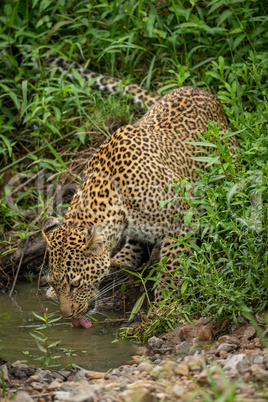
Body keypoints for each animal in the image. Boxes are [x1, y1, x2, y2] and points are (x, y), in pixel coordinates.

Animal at [42, 55, 239, 326]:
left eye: (75, 284)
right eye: (55, 282)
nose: (67, 315)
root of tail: (202, 91)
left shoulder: (182, 218)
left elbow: (172, 265)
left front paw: (165, 303)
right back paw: (122, 258)